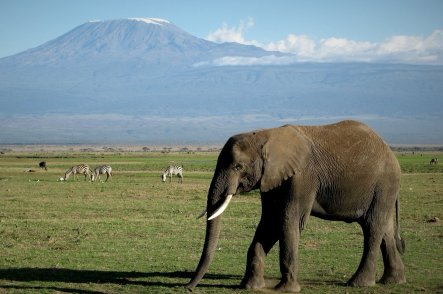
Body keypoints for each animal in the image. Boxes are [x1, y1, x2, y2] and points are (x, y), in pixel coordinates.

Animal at [187, 120, 406, 292]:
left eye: (238, 167)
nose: (188, 288)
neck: (266, 136)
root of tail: (389, 151)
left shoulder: (302, 177)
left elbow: (288, 222)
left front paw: (286, 289)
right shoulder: (271, 179)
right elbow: (269, 223)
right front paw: (250, 286)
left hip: (384, 184)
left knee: (372, 228)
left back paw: (359, 283)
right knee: (385, 229)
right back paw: (393, 281)